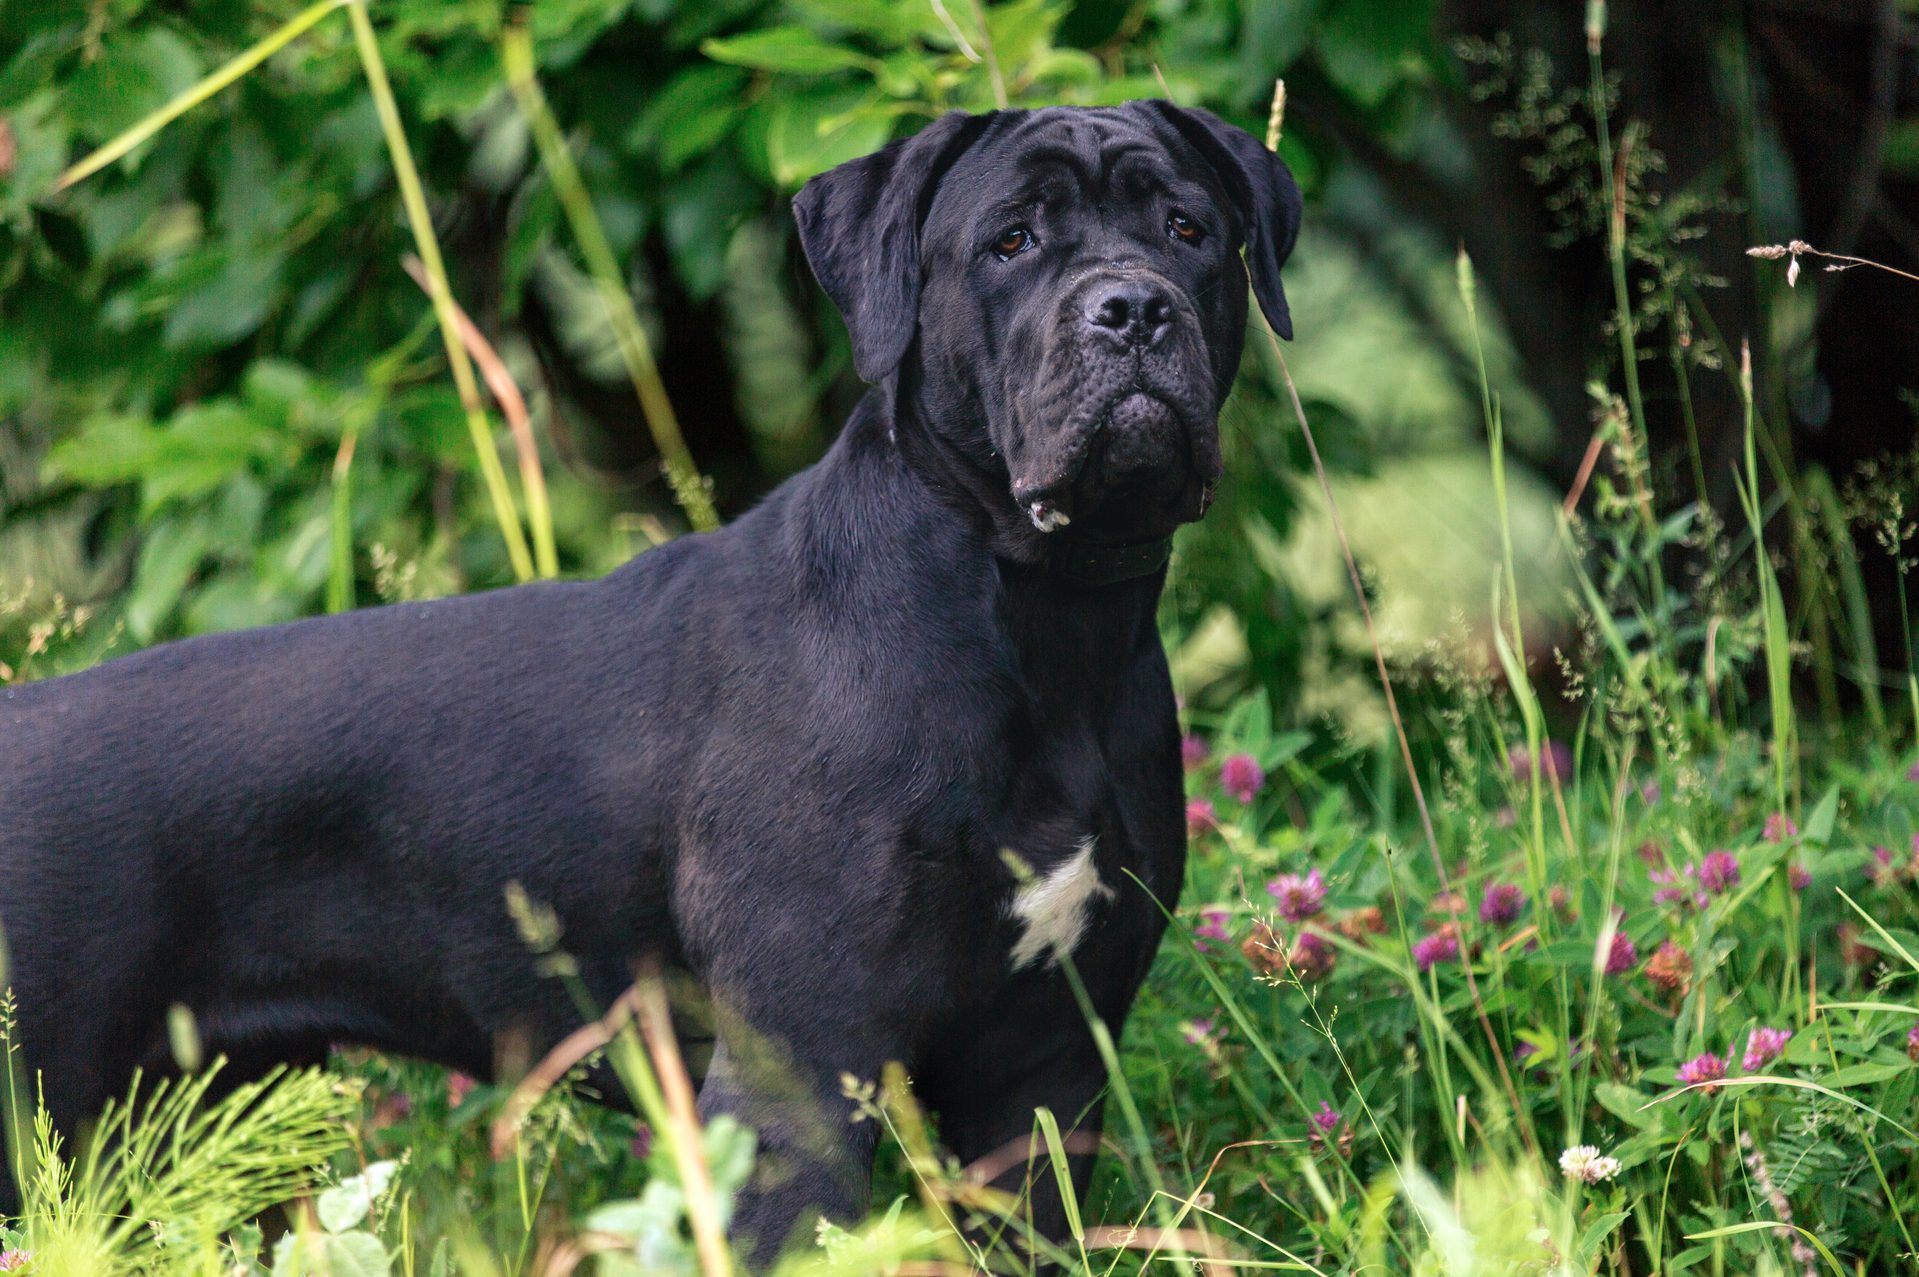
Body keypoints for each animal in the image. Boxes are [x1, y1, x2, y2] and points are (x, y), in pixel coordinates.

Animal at [0, 99, 1304, 1252]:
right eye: (1011, 241)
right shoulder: (800, 1061)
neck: (1042, 615)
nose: (1130, 307)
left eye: (1188, 228)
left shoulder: (1041, 1067)